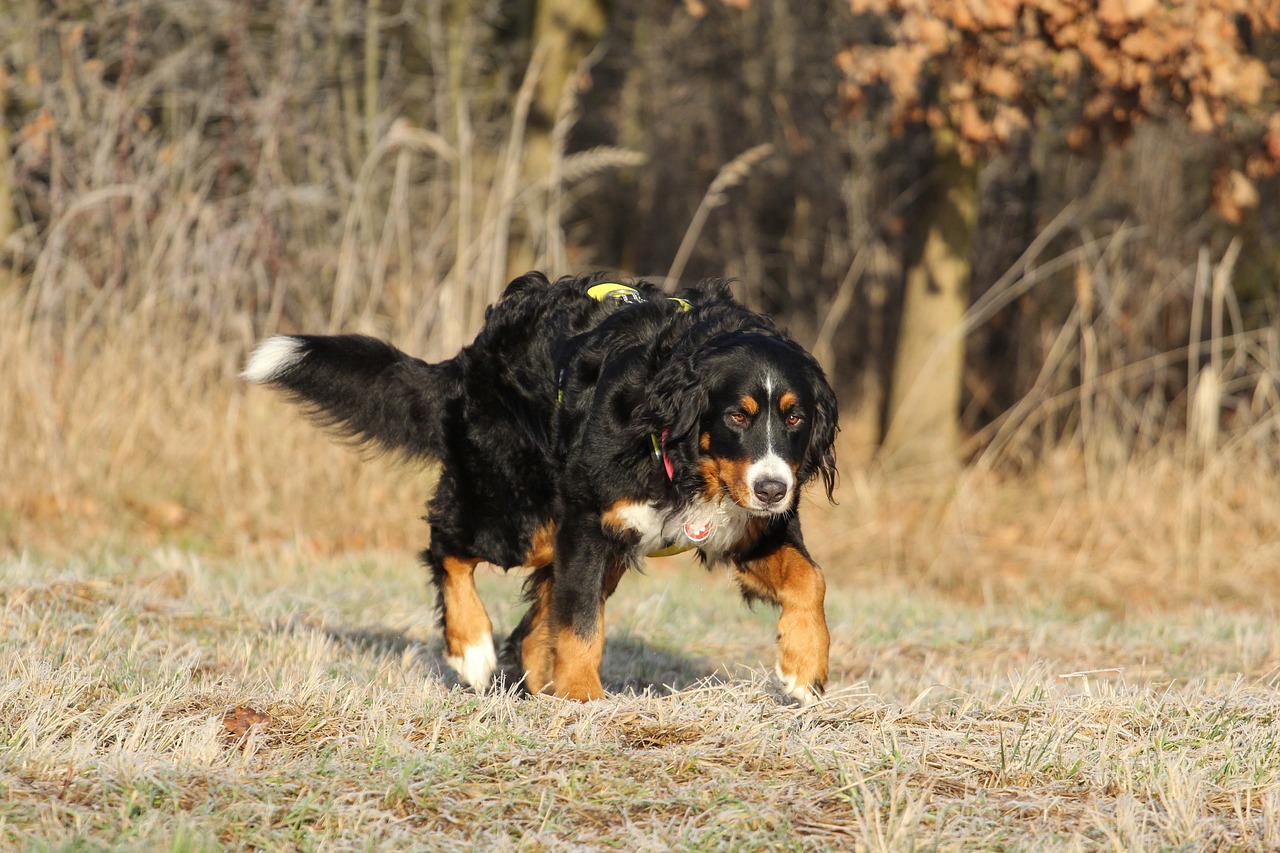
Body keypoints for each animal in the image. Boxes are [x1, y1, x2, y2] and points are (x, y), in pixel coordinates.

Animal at [244, 268, 839, 701]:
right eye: (737, 416)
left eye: (795, 417)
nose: (773, 489)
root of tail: (474, 353)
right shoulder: (589, 523)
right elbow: (579, 624)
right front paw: (582, 699)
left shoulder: (745, 525)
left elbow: (810, 579)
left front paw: (803, 666)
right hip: (519, 512)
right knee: (448, 545)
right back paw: (472, 648)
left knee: (532, 622)